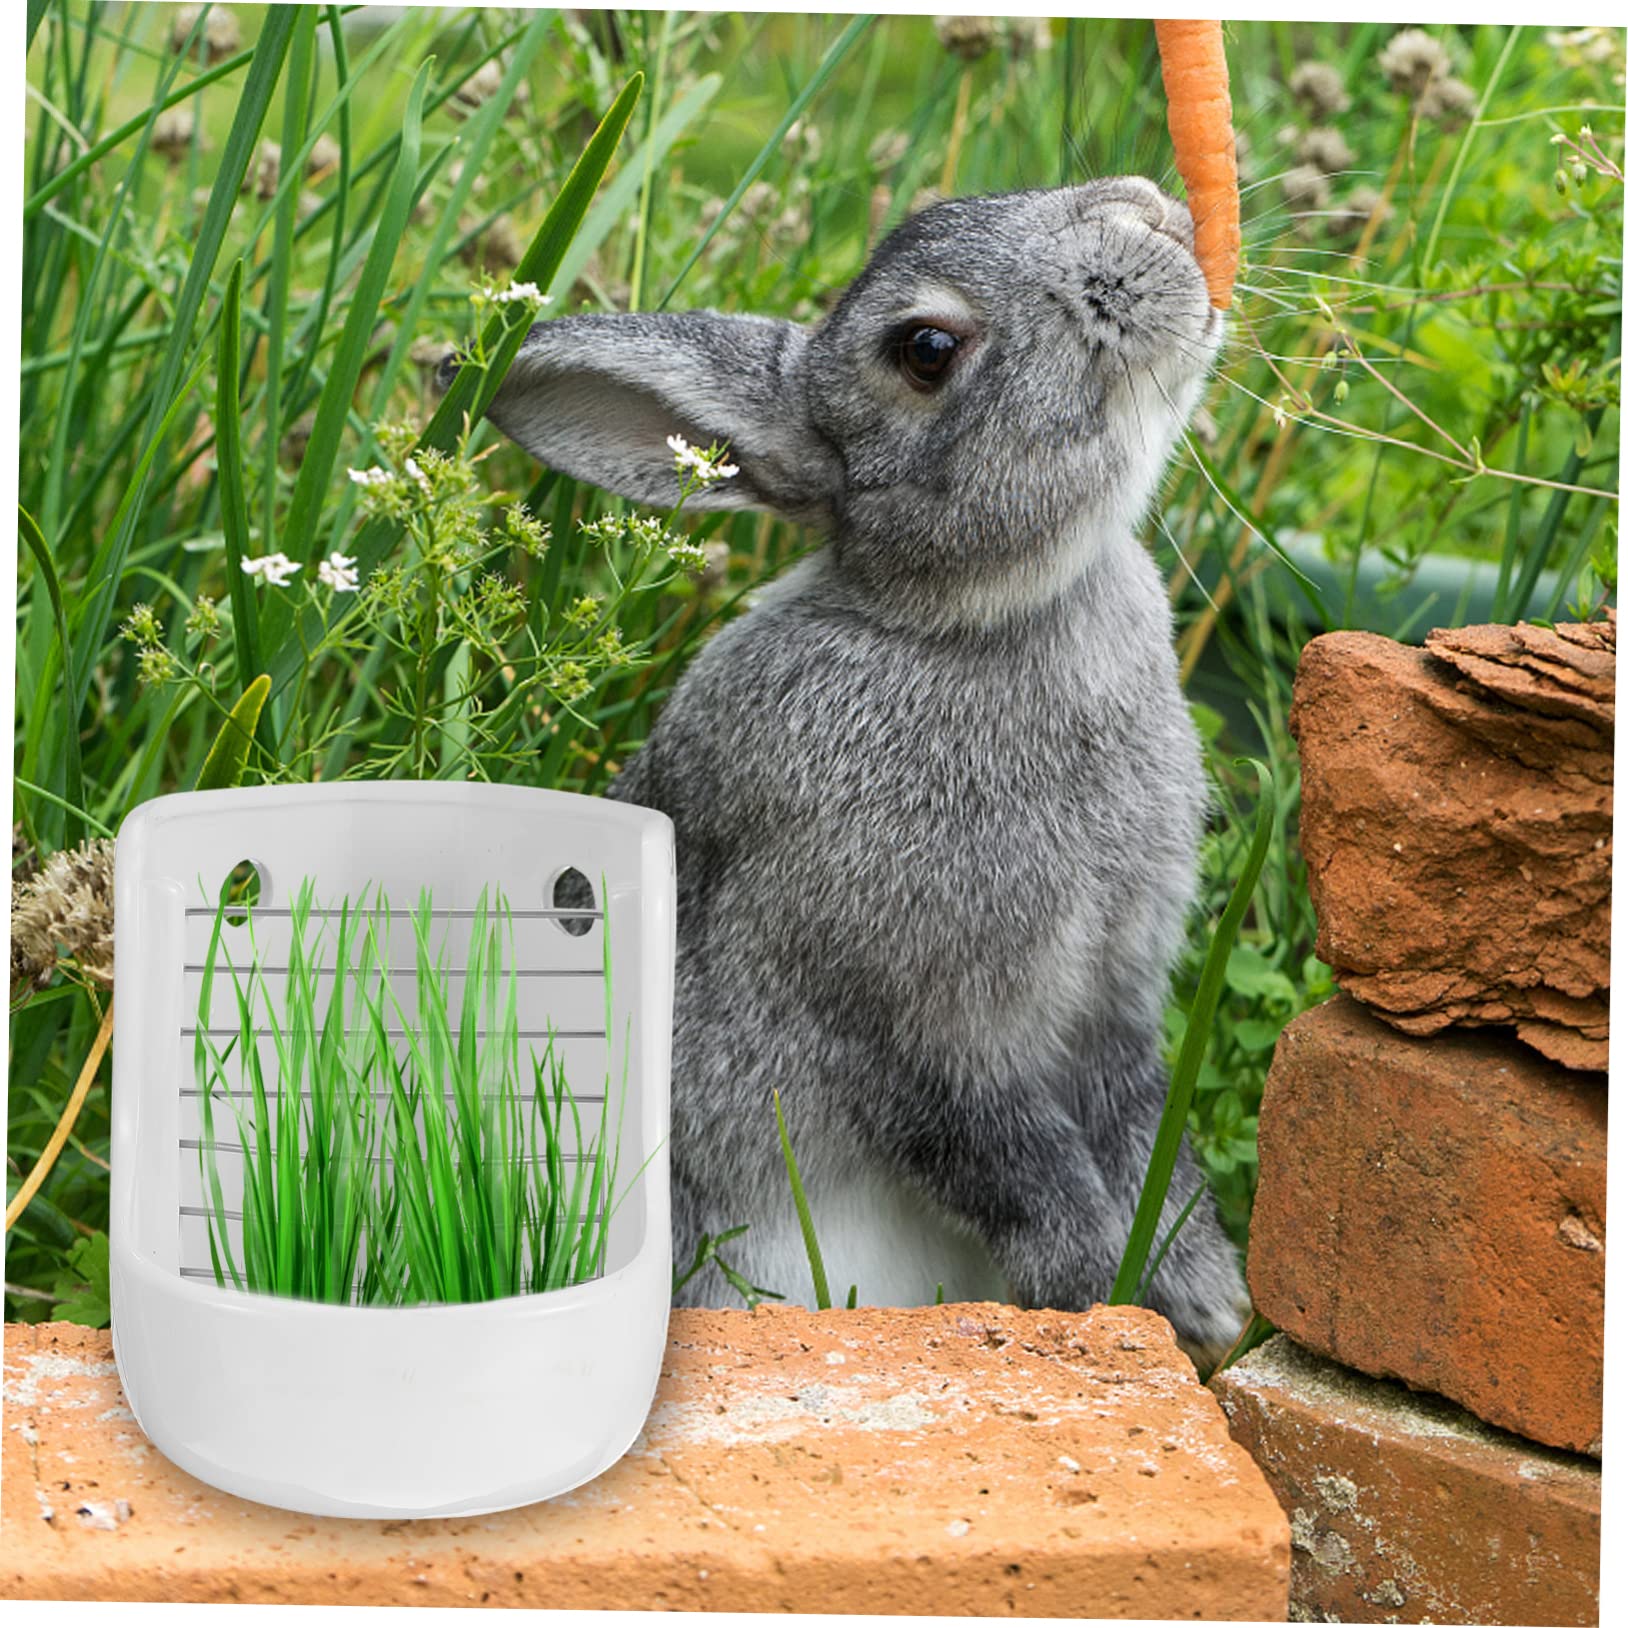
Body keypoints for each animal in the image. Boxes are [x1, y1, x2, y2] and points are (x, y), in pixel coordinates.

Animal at [452, 177, 1251, 1361]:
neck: (967, 620)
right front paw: (1099, 1295)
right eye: (924, 348)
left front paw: (1205, 1304)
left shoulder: (1114, 1000)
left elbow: (1147, 1130)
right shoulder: (907, 1026)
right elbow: (1013, 1165)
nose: (1146, 210)